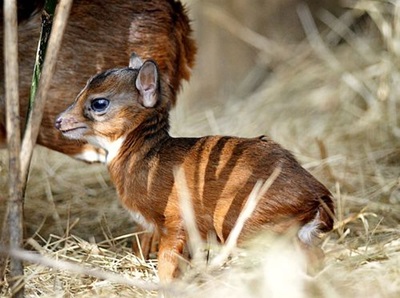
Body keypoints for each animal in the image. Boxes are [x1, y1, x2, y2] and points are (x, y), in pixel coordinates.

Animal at [54, 55, 332, 282]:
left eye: (99, 103)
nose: (58, 121)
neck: (144, 159)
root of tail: (318, 197)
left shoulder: (176, 217)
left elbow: (168, 262)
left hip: (247, 224)